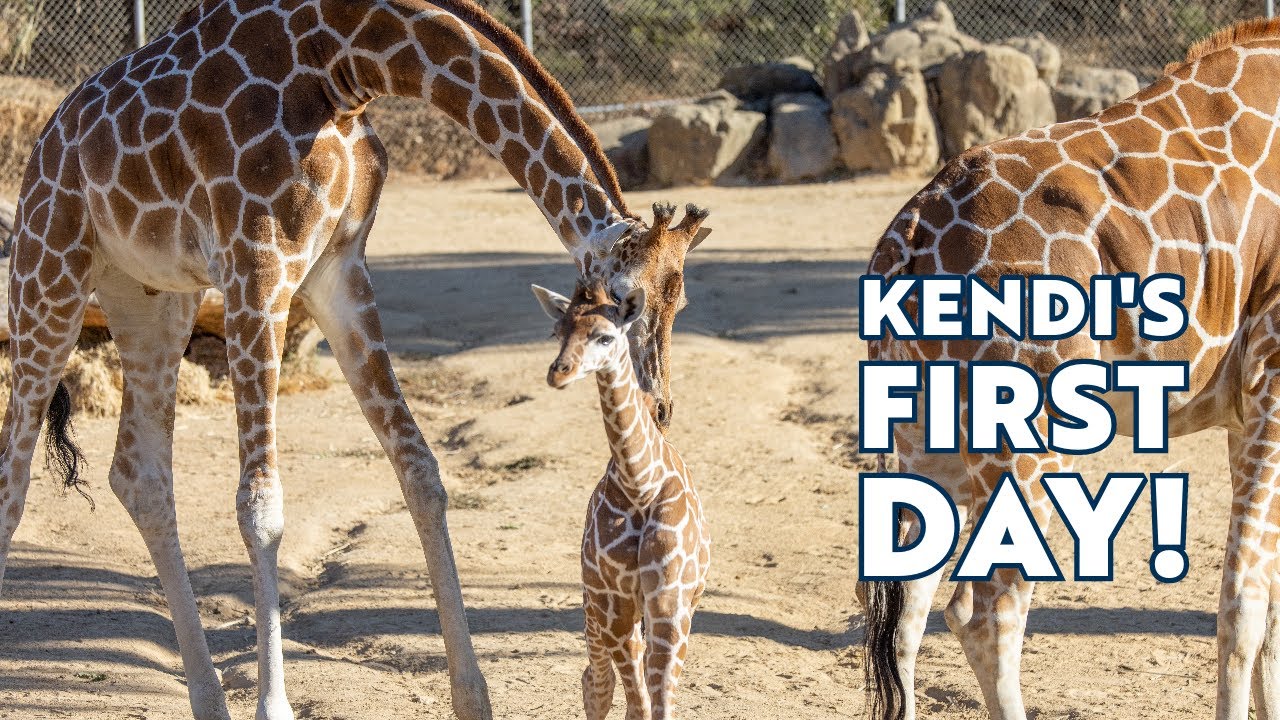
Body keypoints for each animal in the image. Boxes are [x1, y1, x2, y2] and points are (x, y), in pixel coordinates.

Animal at [531, 276, 711, 720]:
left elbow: (658, 699)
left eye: (605, 336)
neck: (639, 481)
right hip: (593, 603)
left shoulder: (670, 599)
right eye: (558, 332)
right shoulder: (615, 601)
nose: (559, 373)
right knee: (596, 680)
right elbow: (637, 700)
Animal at [861, 17, 1280, 720]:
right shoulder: (1270, 382)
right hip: (1025, 432)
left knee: (906, 612)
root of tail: (907, 240)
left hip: (924, 436)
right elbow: (1244, 608)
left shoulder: (1243, 410)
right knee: (984, 612)